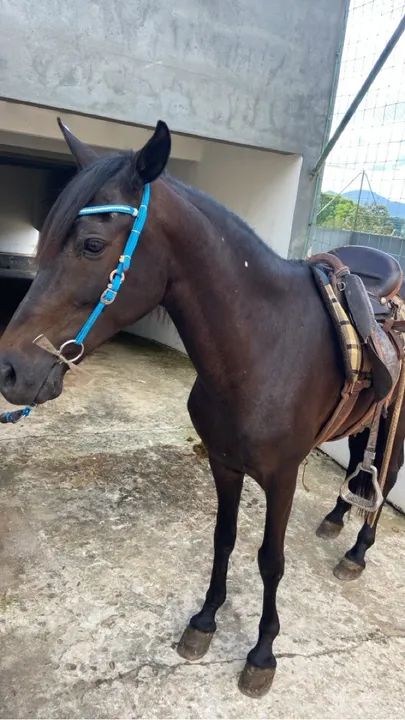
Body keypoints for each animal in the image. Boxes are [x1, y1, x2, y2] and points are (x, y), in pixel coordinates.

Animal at [0, 119, 402, 698]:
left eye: (92, 244)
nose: (10, 369)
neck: (262, 350)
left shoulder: (282, 477)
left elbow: (270, 560)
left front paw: (262, 652)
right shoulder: (223, 463)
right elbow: (223, 539)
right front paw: (205, 621)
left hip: (396, 419)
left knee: (385, 475)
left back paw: (357, 551)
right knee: (358, 463)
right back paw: (335, 518)